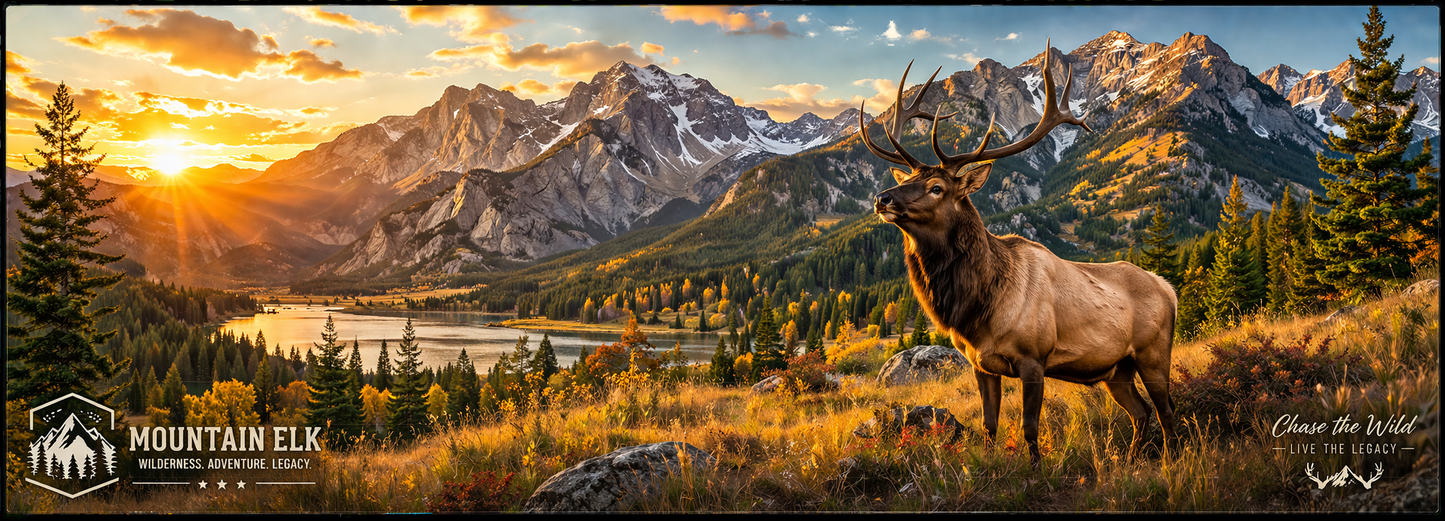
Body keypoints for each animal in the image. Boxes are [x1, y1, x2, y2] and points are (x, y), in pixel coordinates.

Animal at [864, 44, 1178, 468]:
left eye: (936, 187)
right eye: (909, 179)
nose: (883, 198)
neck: (978, 305)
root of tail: (1169, 289)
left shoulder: (1034, 358)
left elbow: (1029, 427)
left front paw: (1036, 471)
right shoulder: (980, 363)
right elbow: (988, 425)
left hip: (1154, 352)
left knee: (1166, 411)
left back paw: (1173, 459)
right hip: (1116, 369)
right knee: (1141, 412)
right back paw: (1129, 460)